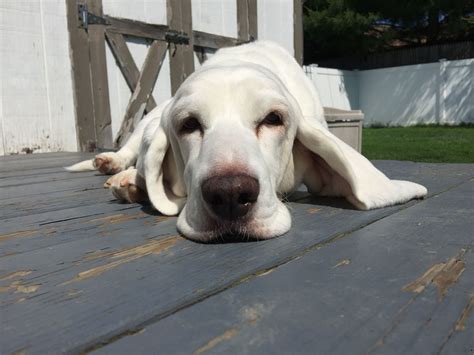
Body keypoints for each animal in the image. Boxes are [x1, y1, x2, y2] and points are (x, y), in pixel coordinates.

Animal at [66, 41, 426, 242]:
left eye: (273, 119)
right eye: (189, 124)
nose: (229, 194)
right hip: (147, 120)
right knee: (130, 150)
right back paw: (118, 170)